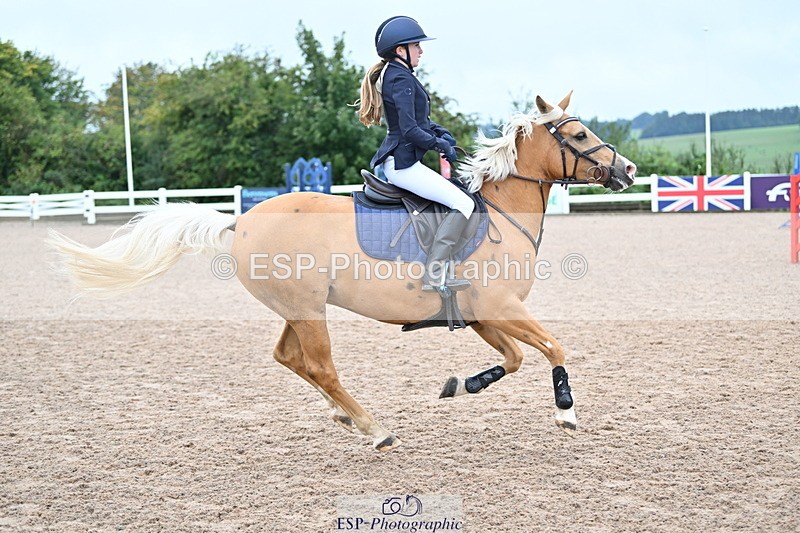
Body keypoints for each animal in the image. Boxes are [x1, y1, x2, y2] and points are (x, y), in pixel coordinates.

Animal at [47, 92, 637, 451]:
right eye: (579, 136)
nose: (628, 170)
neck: (500, 212)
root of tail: (240, 221)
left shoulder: (484, 316)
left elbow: (513, 360)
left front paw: (462, 384)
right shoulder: (502, 308)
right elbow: (555, 346)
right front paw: (566, 411)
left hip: (297, 309)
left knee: (289, 358)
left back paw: (346, 416)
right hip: (309, 309)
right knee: (320, 366)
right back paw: (374, 428)